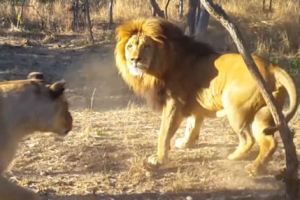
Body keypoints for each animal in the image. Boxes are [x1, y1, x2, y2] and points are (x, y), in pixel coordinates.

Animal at [114, 17, 298, 177]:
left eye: (146, 46)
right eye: (130, 46)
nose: (134, 60)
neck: (159, 65)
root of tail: (272, 67)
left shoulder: (173, 103)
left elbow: (164, 132)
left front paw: (158, 158)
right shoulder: (195, 106)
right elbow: (192, 125)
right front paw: (186, 143)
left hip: (236, 110)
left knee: (248, 140)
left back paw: (237, 159)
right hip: (265, 113)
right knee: (270, 142)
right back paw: (256, 167)